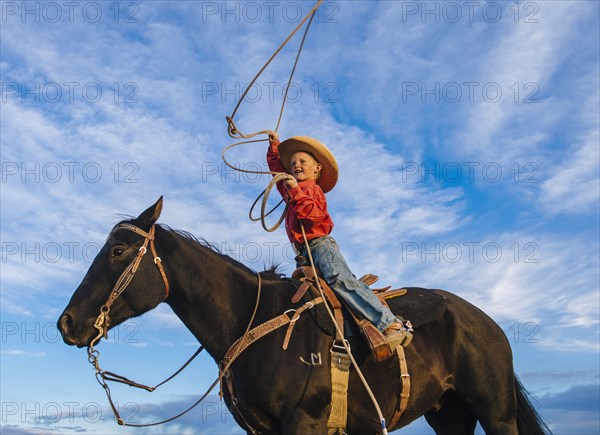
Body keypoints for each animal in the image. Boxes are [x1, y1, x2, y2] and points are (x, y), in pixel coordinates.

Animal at [58, 198, 552, 435]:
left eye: (118, 251)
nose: (67, 323)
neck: (251, 319)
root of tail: (488, 324)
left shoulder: (305, 423)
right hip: (450, 416)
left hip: (496, 415)